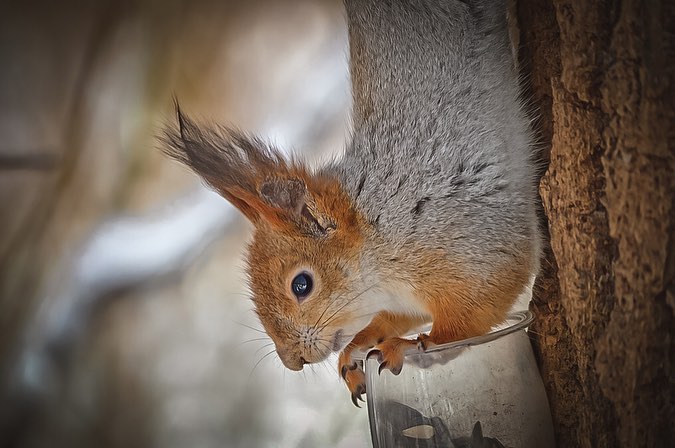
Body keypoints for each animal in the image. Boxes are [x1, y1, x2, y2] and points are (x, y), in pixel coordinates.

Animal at [161, 0, 540, 407]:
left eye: (301, 285)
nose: (292, 361)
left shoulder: (471, 244)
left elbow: (470, 320)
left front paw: (408, 346)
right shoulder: (402, 299)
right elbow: (390, 320)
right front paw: (357, 349)